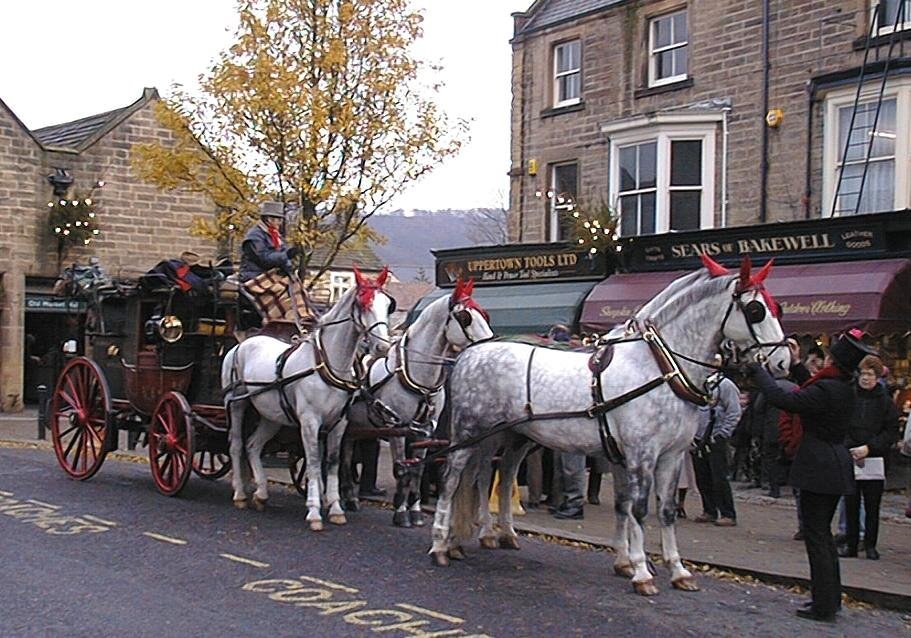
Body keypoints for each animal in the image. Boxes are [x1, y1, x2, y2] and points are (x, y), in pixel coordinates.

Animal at [223, 268, 394, 532]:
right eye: (363, 304)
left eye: (387, 305)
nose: (383, 347)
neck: (328, 364)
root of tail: (243, 343)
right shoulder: (310, 422)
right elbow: (313, 462)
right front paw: (314, 511)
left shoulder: (339, 424)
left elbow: (332, 463)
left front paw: (335, 508)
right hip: (237, 403)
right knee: (236, 444)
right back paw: (240, 494)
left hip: (270, 415)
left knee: (252, 446)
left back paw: (261, 493)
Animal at [342, 282, 496, 528]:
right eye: (465, 318)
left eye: (485, 314)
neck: (417, 378)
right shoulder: (397, 428)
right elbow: (402, 469)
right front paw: (400, 512)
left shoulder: (424, 431)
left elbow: (418, 469)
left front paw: (414, 511)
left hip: (353, 427)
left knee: (346, 457)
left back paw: (350, 497)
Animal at [430, 258, 792, 596]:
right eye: (756, 310)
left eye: (778, 307)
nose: (783, 362)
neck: (659, 369)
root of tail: (470, 353)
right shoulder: (641, 454)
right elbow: (640, 509)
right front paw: (642, 572)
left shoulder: (669, 455)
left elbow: (659, 510)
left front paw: (670, 569)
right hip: (468, 431)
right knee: (452, 480)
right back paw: (440, 545)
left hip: (512, 436)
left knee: (496, 477)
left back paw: (490, 535)